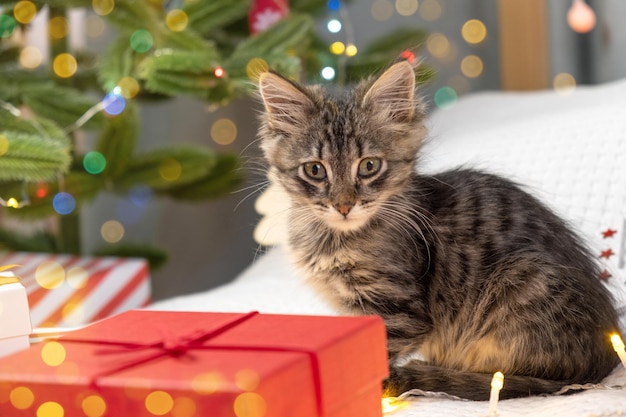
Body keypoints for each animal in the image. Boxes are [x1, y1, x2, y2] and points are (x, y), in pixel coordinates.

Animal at [255, 60, 620, 398]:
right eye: (315, 170)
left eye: (369, 166)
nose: (344, 205)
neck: (336, 238)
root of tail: (604, 359)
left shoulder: (398, 310)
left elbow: (375, 356)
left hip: (523, 280)